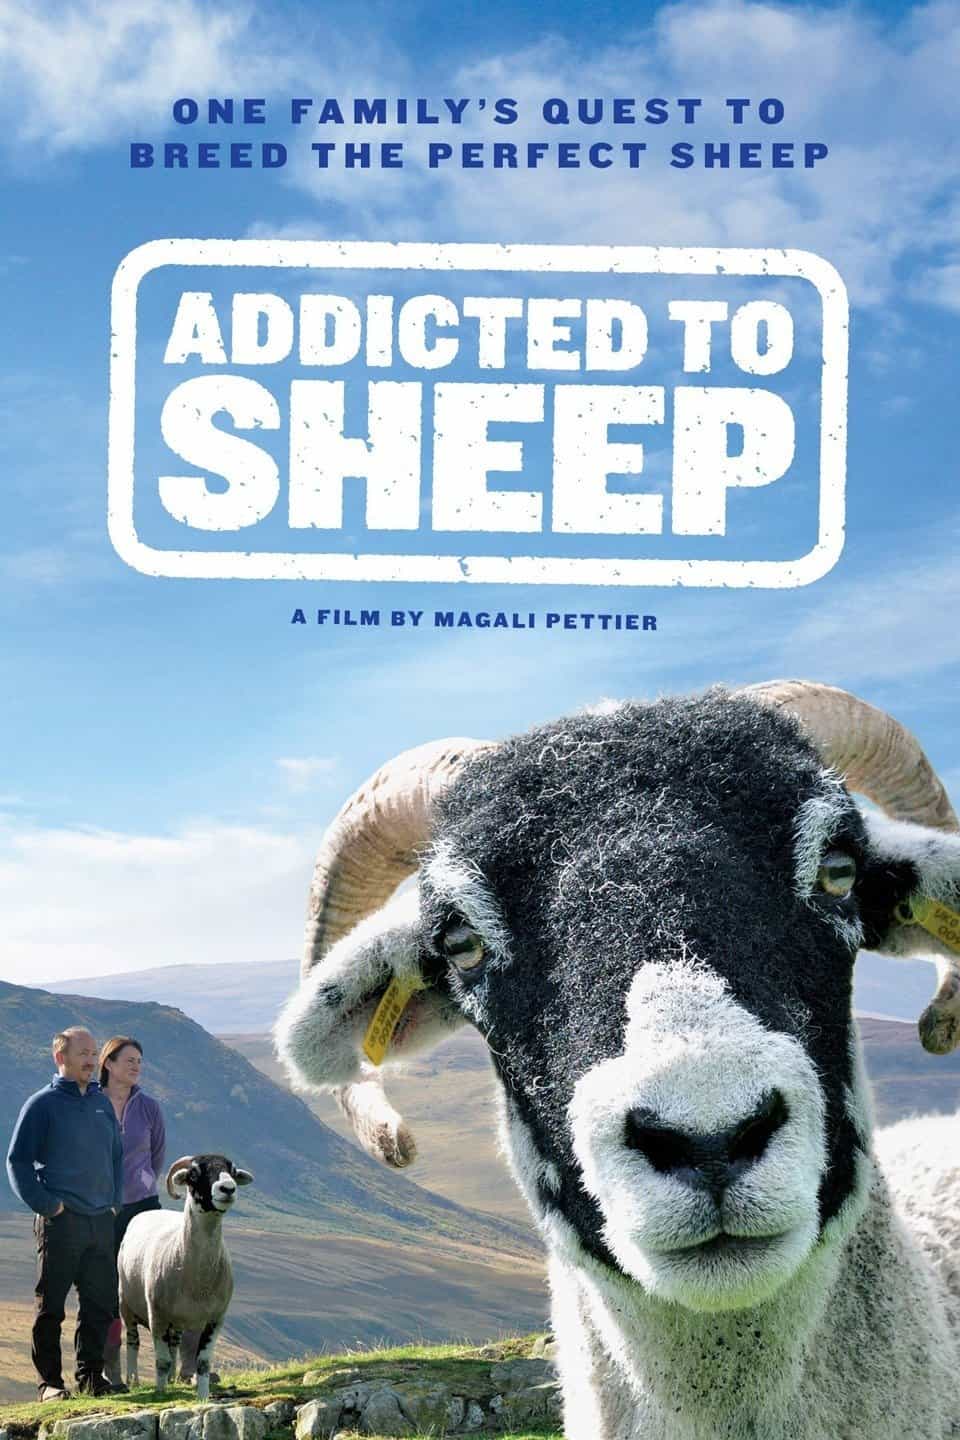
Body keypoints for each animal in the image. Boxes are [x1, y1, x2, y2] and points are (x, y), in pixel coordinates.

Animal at [118, 1153, 253, 1399]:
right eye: (194, 1173)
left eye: (232, 1171)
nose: (228, 1189)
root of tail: (151, 1212)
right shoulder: (157, 1317)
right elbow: (161, 1361)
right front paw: (160, 1394)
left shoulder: (215, 1319)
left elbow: (203, 1363)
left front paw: (203, 1397)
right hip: (126, 1305)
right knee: (133, 1341)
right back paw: (133, 1379)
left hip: (178, 1322)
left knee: (174, 1345)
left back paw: (171, 1379)